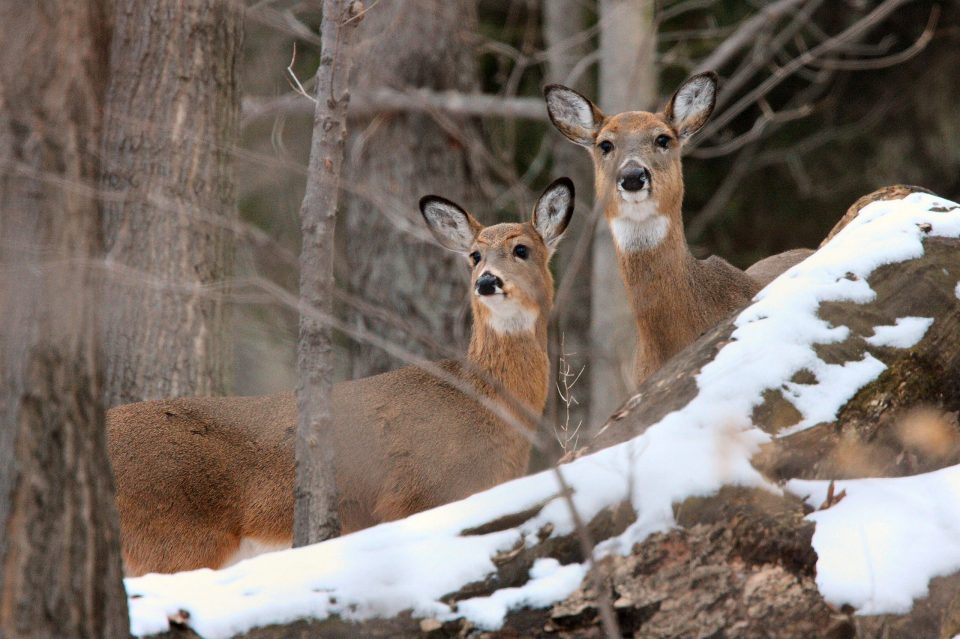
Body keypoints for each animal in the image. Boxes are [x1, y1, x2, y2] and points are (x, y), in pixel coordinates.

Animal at [110, 178, 576, 576]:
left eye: (522, 249)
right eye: (475, 256)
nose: (487, 281)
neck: (482, 401)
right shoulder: (413, 496)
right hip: (172, 537)